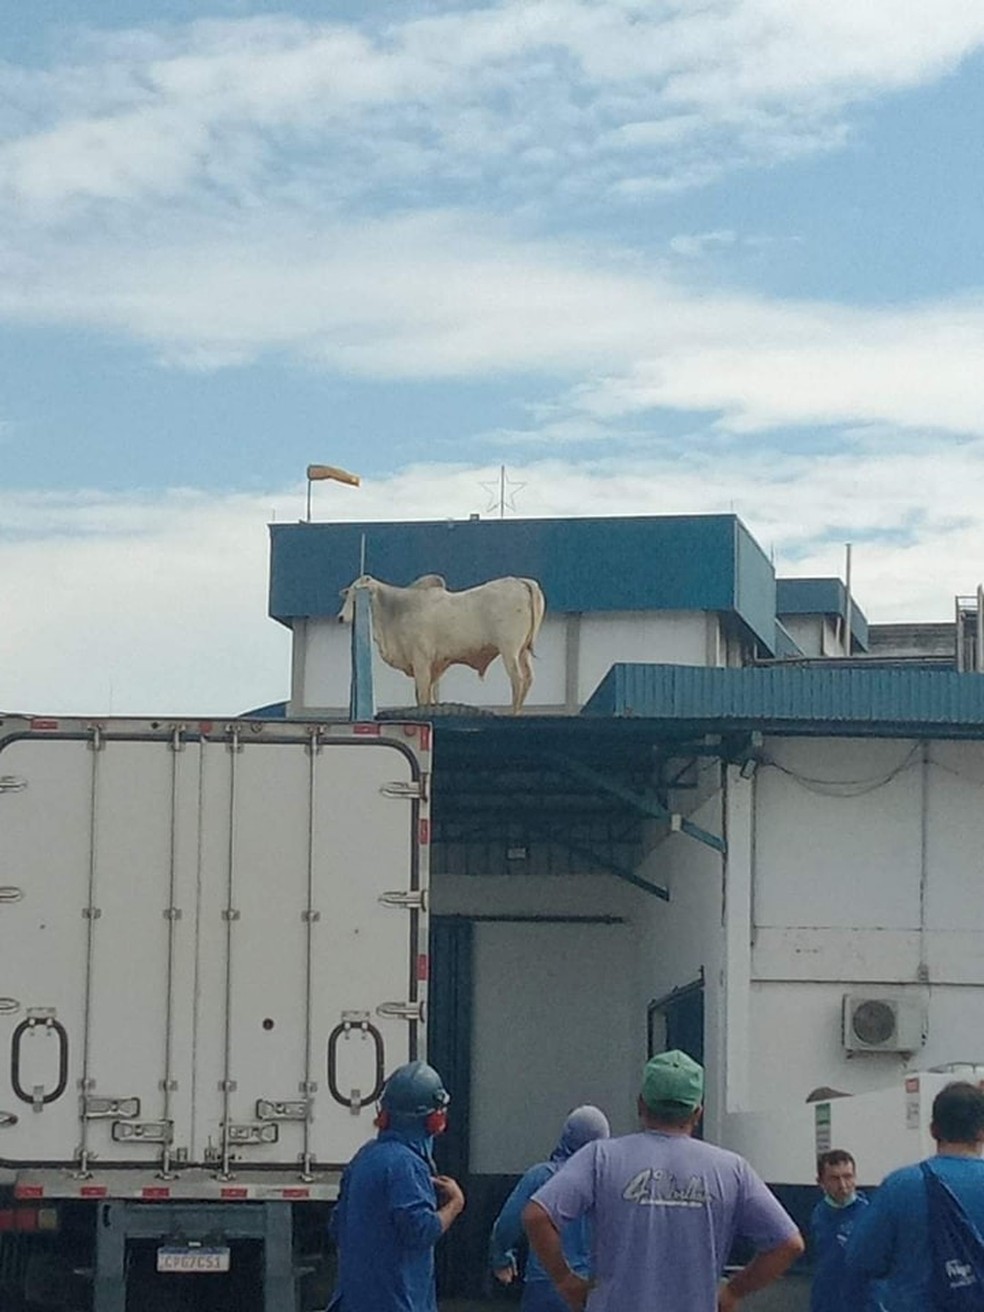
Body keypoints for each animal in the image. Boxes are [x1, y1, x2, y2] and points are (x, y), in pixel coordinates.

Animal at [338, 577, 548, 713]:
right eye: (348, 595)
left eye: (356, 597)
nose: (341, 617)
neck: (396, 609)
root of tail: (521, 581)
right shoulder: (434, 666)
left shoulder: (421, 662)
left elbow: (422, 695)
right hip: (522, 651)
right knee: (528, 678)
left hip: (509, 649)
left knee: (518, 679)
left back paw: (513, 712)